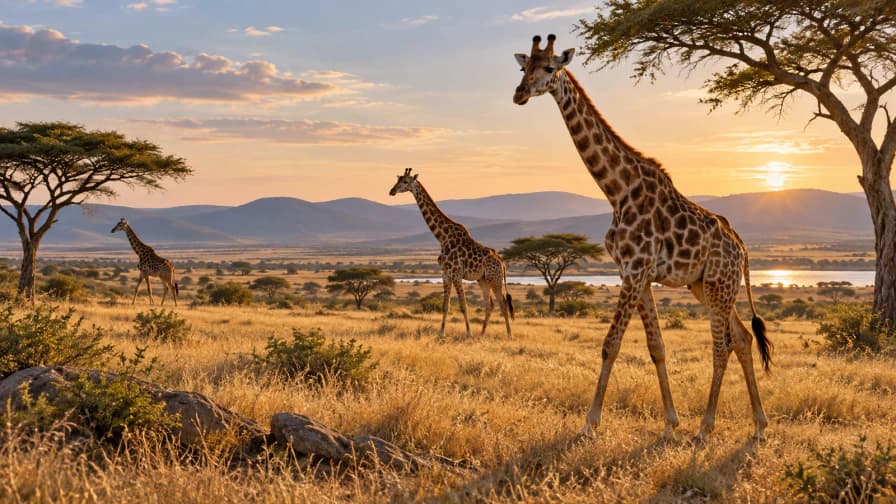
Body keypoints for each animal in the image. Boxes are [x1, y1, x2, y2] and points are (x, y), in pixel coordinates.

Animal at [389, 168, 514, 339]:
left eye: (405, 181)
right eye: (398, 180)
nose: (391, 191)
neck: (442, 238)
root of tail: (502, 262)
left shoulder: (456, 274)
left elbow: (463, 305)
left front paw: (468, 334)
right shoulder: (445, 274)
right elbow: (445, 305)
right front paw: (441, 333)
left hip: (495, 280)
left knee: (503, 304)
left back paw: (509, 335)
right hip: (483, 280)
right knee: (490, 304)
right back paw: (481, 334)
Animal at [512, 35, 772, 442]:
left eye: (550, 68)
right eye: (524, 67)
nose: (520, 93)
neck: (617, 190)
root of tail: (743, 250)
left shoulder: (635, 270)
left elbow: (611, 344)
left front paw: (589, 423)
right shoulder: (637, 274)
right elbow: (656, 346)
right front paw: (670, 423)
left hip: (719, 285)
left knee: (723, 346)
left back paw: (706, 428)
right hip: (707, 287)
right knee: (744, 340)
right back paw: (759, 425)